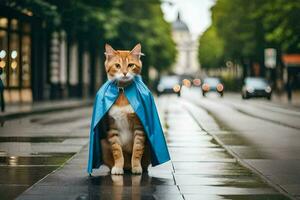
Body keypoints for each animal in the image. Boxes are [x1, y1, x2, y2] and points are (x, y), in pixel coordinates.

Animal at [101, 43, 150, 175]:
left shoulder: (139, 127)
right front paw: (118, 167)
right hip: (103, 143)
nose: (124, 73)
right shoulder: (112, 127)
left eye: (131, 65)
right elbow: (117, 151)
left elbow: (137, 150)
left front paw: (136, 166)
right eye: (117, 65)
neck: (123, 91)